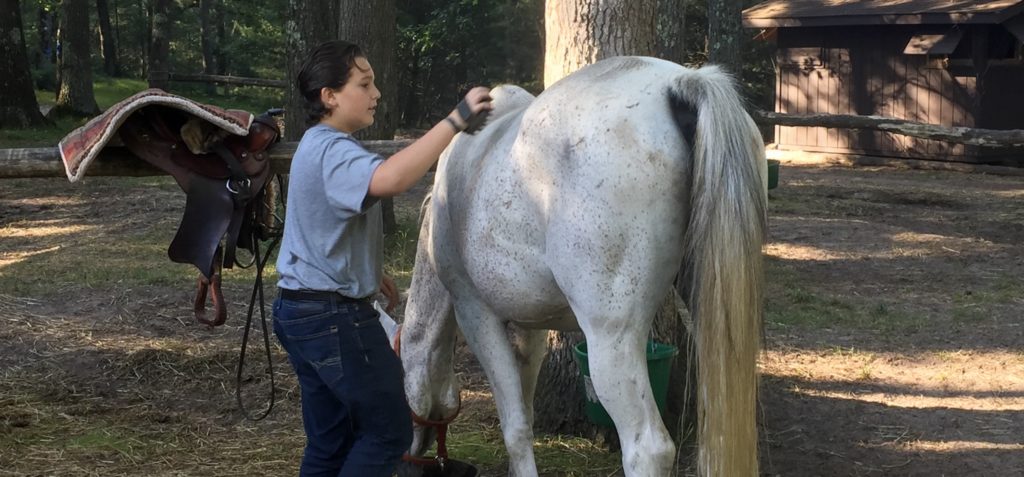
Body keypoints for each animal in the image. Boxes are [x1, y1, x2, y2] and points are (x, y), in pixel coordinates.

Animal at [398, 56, 767, 477]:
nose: (413, 450)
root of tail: (679, 83)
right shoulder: (532, 330)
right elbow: (525, 410)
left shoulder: (475, 315)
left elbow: (515, 428)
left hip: (612, 341)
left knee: (648, 448)